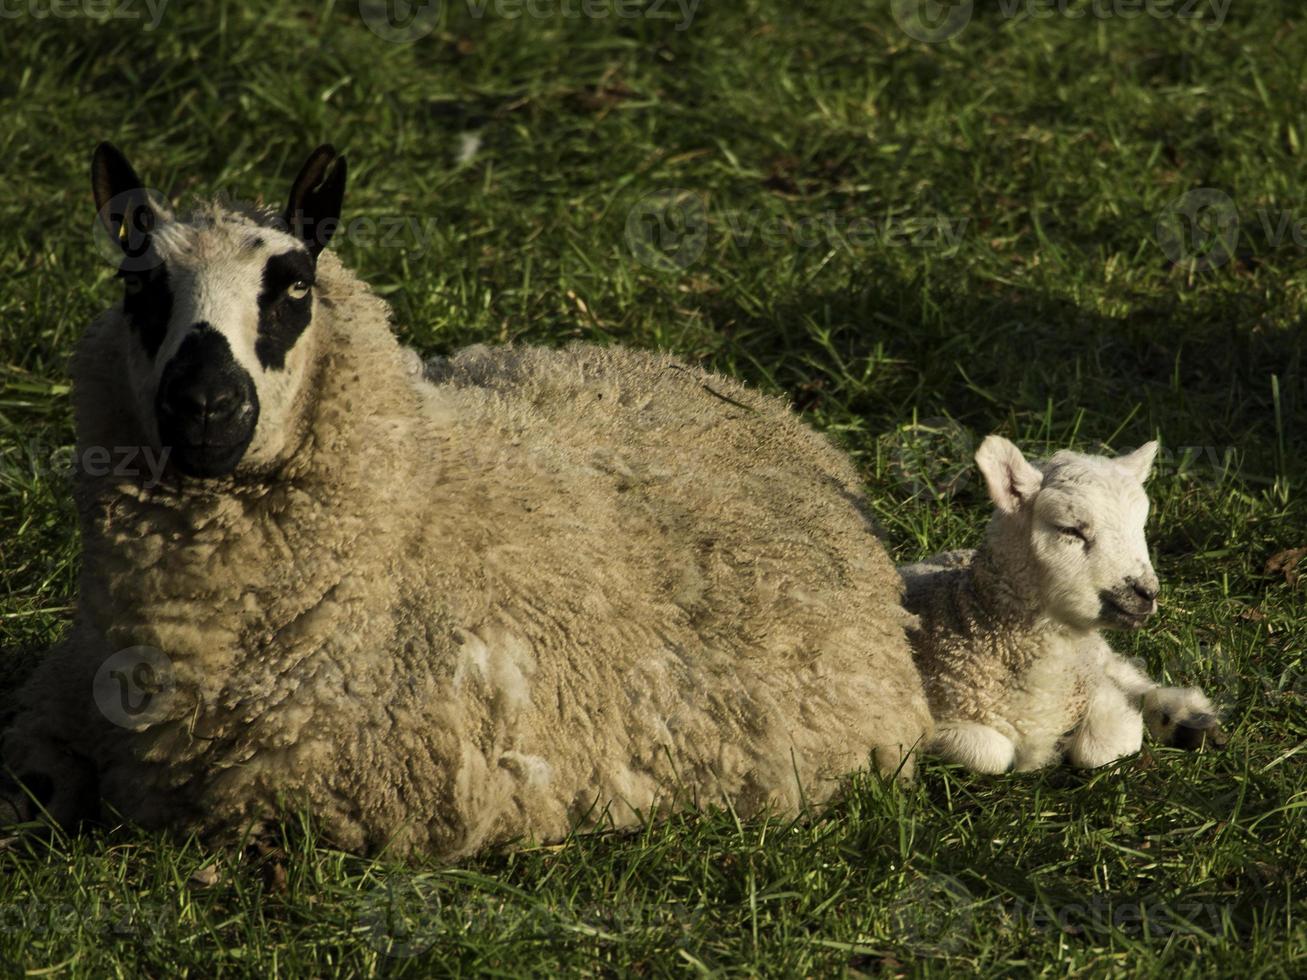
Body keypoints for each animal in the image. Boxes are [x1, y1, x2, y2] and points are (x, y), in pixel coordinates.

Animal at [899, 436, 1223, 773]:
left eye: (1141, 524)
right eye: (1070, 529)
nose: (1148, 593)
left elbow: (1103, 747)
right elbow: (992, 753)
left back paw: (1185, 718)